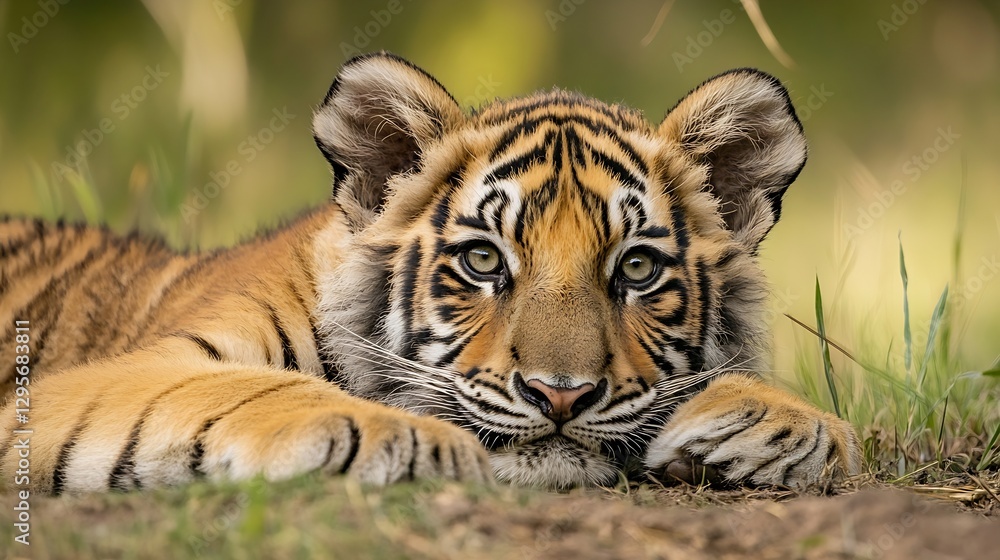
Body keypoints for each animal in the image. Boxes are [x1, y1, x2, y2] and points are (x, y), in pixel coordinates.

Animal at [0, 52, 861, 494]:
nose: (560, 395)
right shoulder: (97, 381)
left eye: (638, 269)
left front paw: (776, 424)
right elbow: (252, 389)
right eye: (483, 260)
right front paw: (409, 437)